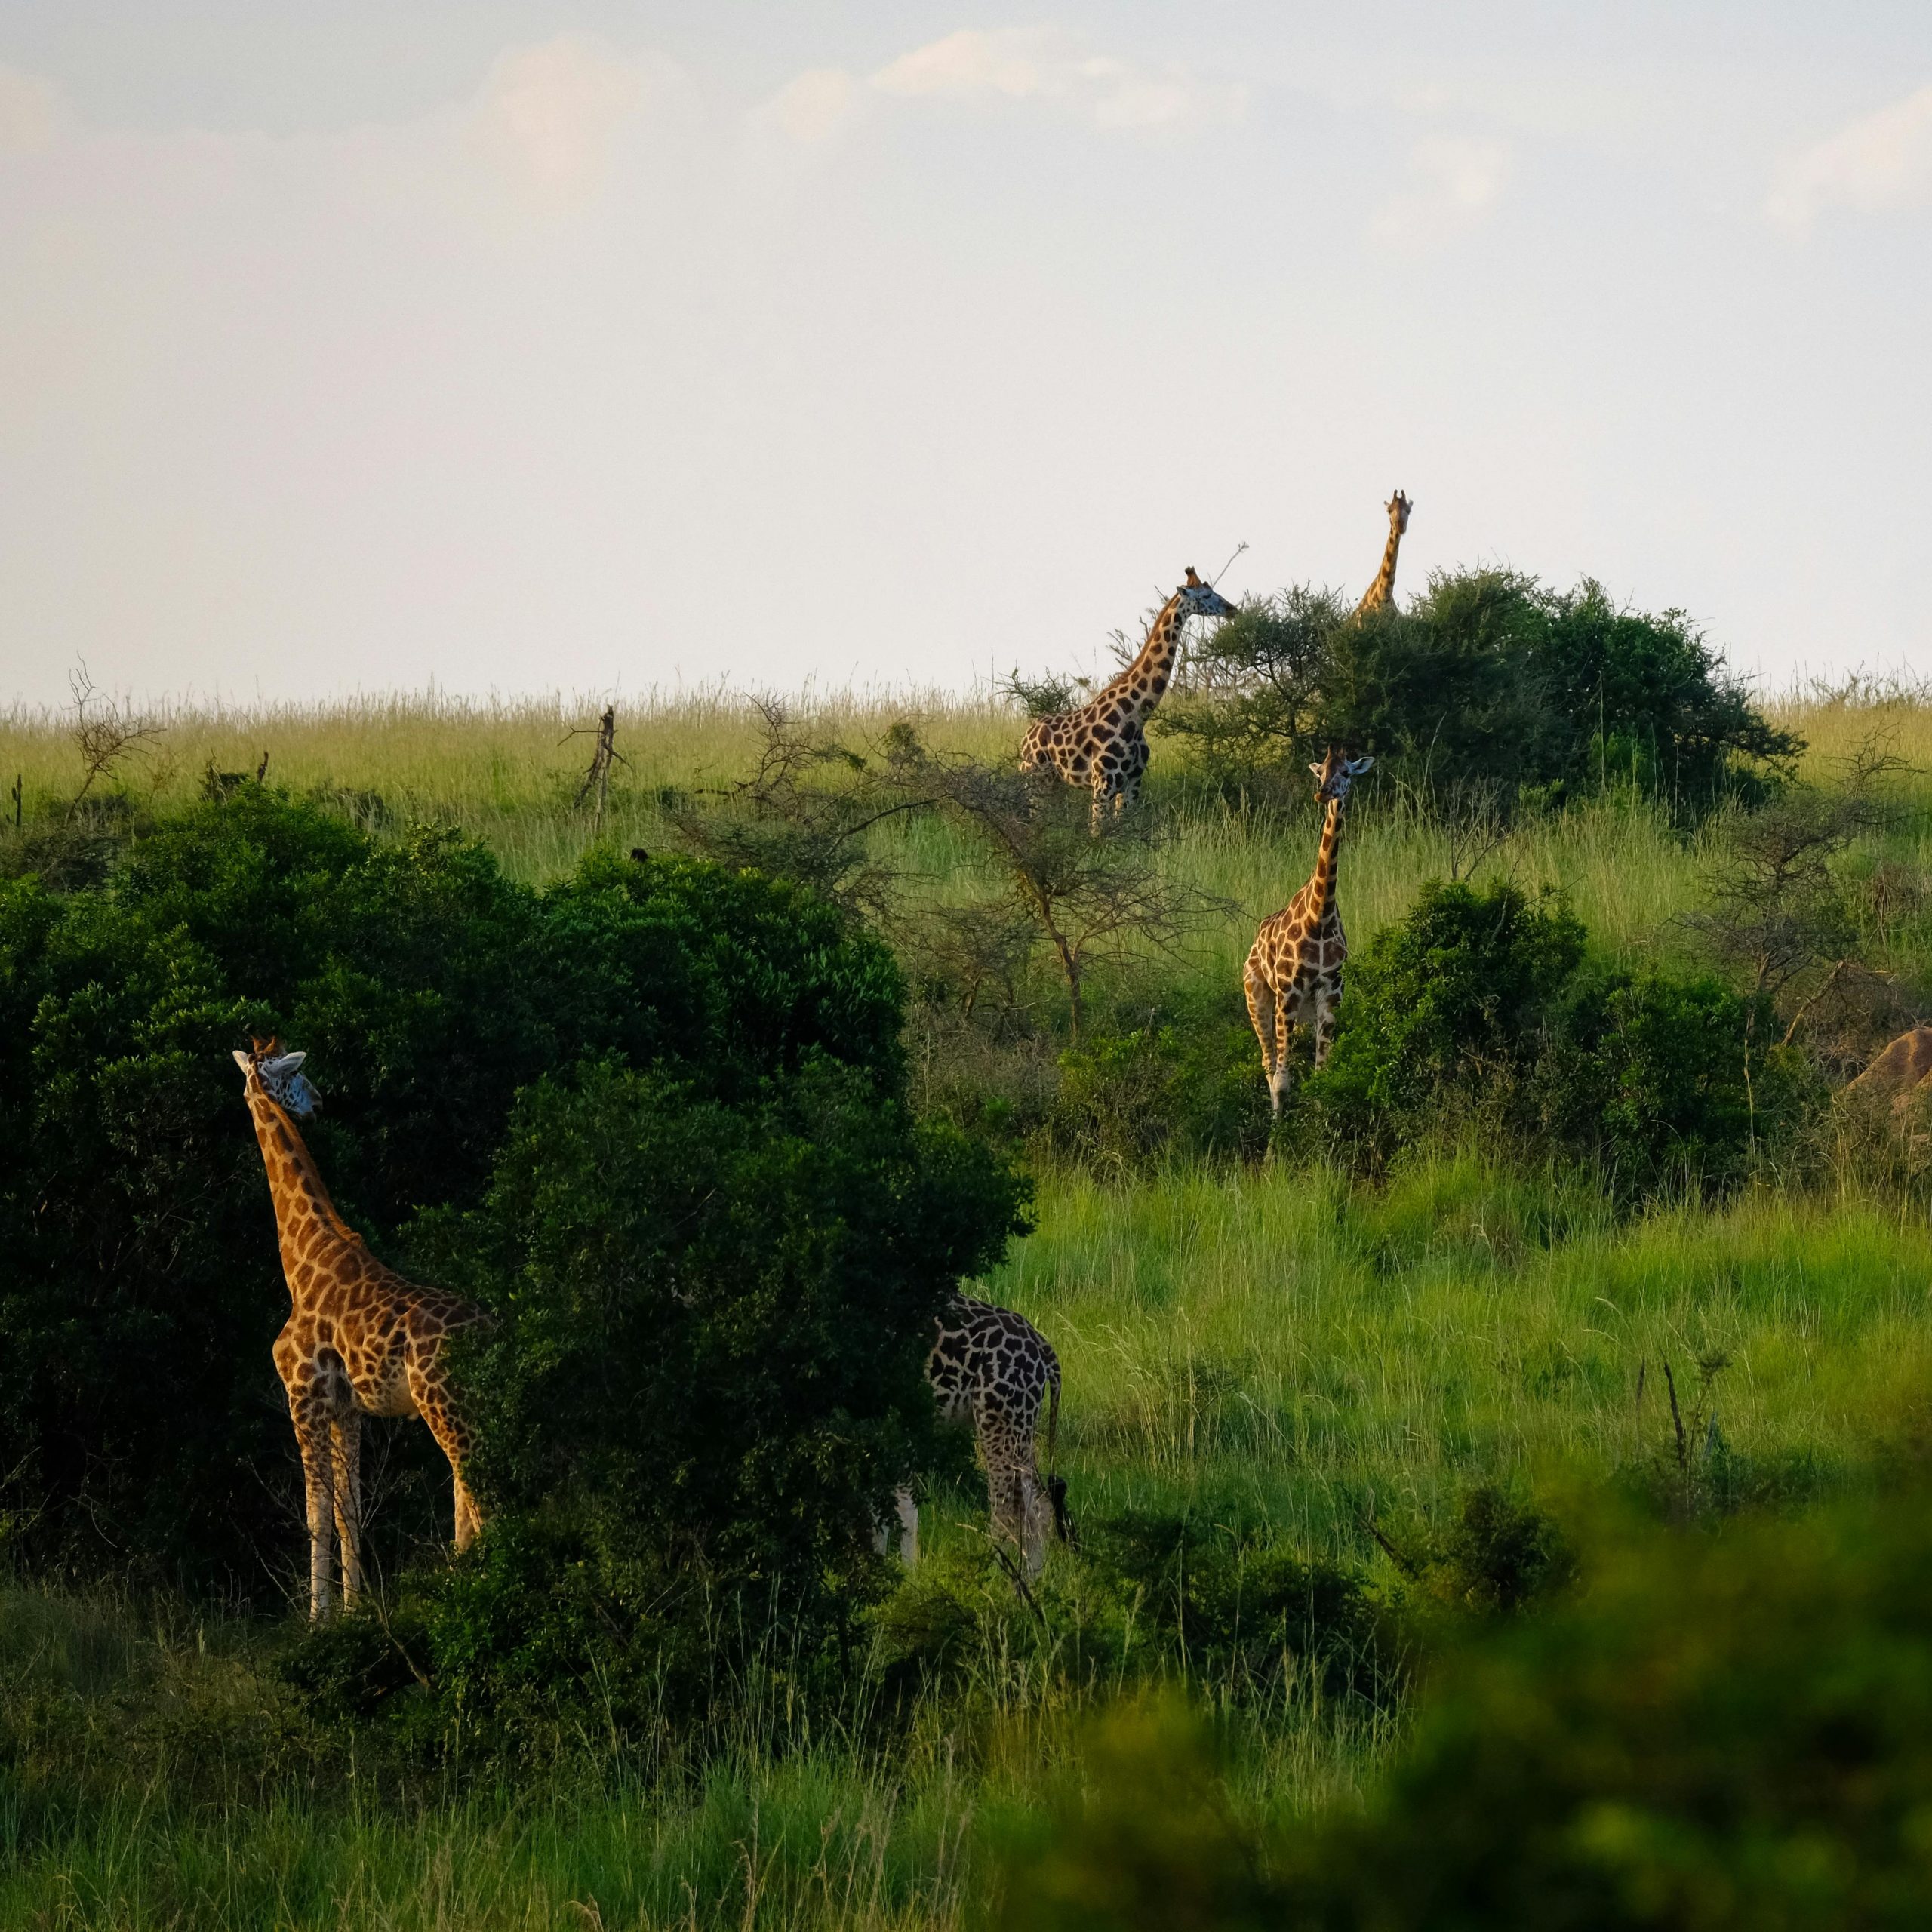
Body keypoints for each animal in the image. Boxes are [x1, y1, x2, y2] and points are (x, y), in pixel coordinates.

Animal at [232, 1036, 487, 1620]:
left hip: (443, 1403)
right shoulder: (348, 1409)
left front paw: (318, 1618)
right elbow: (349, 1508)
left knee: (476, 1486)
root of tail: (493, 1329)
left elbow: (316, 1511)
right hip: (468, 1405)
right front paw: (355, 1610)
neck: (301, 1260)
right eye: (296, 1077)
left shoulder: (303, 1396)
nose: (320, 1102)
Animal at [883, 1293, 1070, 1578]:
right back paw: (1033, 1580)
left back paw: (993, 1578)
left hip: (999, 1419)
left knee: (1005, 1511)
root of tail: (1044, 1349)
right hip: (1021, 1424)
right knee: (1038, 1506)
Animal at [1020, 567, 1237, 830]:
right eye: (1206, 595)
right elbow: (1097, 834)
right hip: (1035, 777)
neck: (1135, 716)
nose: (1232, 609)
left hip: (1054, 781)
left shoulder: (1133, 782)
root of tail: (1025, 737)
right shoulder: (1104, 783)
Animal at [1243, 749, 1375, 1117]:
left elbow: (1321, 1075)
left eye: (1347, 772)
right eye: (1320, 773)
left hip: (1301, 1010)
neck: (1320, 916)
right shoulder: (1288, 993)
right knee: (1268, 1065)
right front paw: (1279, 1133)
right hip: (1258, 999)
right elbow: (1282, 1081)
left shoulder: (1331, 992)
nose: (1324, 794)